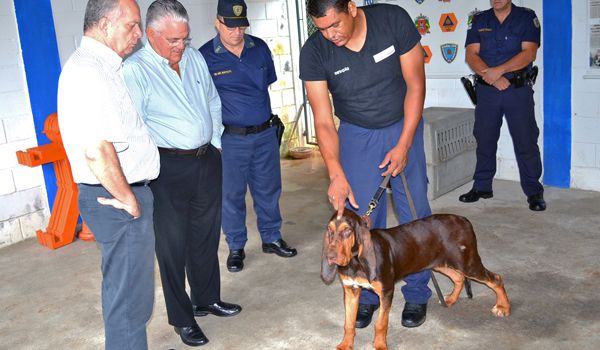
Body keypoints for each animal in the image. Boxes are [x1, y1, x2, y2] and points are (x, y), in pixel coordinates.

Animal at [322, 209, 508, 348]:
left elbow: (381, 323)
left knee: (496, 278)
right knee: (459, 278)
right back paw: (451, 299)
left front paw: (380, 345)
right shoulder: (351, 290)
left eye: (347, 230)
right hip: (441, 263)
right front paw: (345, 345)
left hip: (467, 264)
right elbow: (349, 323)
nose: (330, 257)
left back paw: (503, 307)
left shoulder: (386, 291)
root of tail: (464, 220)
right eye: (330, 230)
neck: (355, 262)